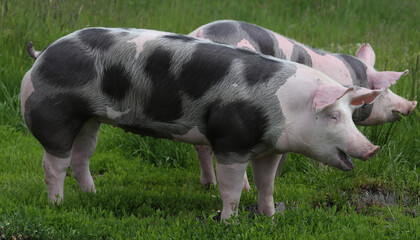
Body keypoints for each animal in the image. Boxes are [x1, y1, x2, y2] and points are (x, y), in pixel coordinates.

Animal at [22, 27, 380, 219]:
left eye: (350, 116)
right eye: (332, 115)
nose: (373, 148)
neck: (286, 106)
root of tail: (41, 56)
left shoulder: (269, 148)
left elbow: (267, 184)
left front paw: (270, 217)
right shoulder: (231, 141)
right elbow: (231, 188)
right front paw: (229, 222)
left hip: (89, 119)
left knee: (82, 157)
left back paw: (92, 195)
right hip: (55, 115)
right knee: (52, 164)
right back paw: (57, 204)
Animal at [189, 19, 416, 188]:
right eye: (385, 89)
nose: (412, 104)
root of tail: (200, 33)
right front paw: (322, 174)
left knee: (202, 146)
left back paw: (208, 184)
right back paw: (245, 188)